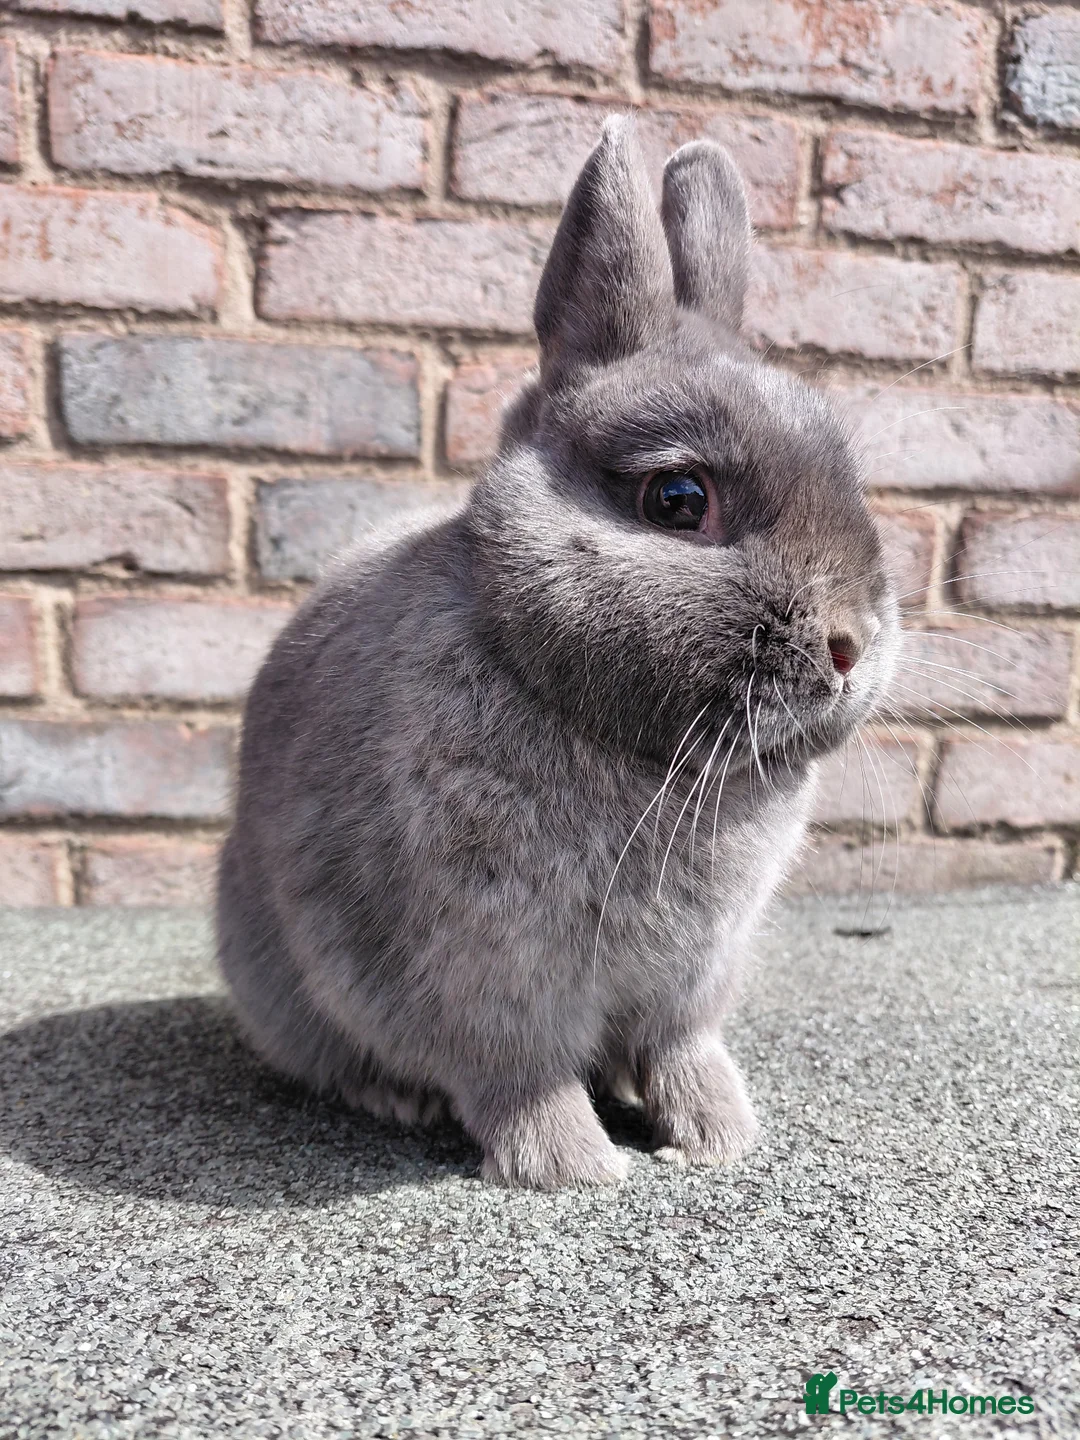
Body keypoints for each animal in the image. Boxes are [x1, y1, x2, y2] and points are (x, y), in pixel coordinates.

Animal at [217, 117, 900, 1190]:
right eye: (678, 500)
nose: (850, 645)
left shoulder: (689, 982)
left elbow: (681, 1052)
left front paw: (719, 1137)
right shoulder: (490, 975)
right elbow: (521, 1079)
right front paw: (578, 1168)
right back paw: (400, 1098)